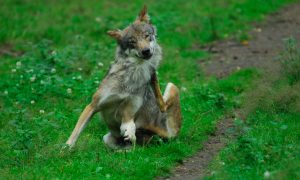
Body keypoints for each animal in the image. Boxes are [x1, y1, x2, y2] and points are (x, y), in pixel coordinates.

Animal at [65, 5, 182, 149]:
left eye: (146, 36)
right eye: (132, 42)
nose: (146, 51)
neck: (133, 74)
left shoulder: (129, 111)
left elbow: (128, 124)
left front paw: (129, 131)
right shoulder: (93, 105)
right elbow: (75, 133)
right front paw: (65, 149)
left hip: (172, 87)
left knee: (161, 104)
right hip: (107, 138)